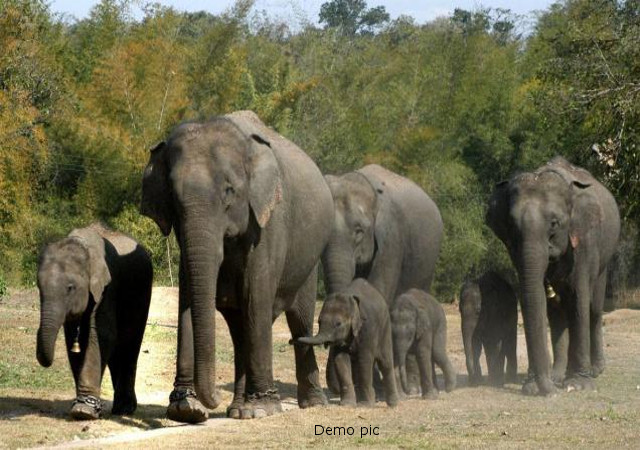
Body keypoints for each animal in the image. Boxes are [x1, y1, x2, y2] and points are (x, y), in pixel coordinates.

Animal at [36, 223, 152, 420]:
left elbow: (101, 334)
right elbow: (73, 340)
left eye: (70, 288)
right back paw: (120, 408)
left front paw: (84, 411)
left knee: (129, 344)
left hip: (142, 290)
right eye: (38, 287)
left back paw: (125, 409)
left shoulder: (107, 287)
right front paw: (83, 406)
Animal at [141, 109, 336, 422]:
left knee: (299, 321)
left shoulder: (268, 221)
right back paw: (238, 409)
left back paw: (310, 404)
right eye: (172, 195)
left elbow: (255, 295)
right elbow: (188, 296)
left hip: (308, 260)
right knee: (239, 327)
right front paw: (186, 409)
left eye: (229, 191)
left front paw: (262, 409)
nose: (214, 399)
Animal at [322, 165, 442, 394]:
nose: (335, 389)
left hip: (427, 264)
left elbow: (378, 291)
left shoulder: (390, 241)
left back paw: (413, 388)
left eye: (359, 231)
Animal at [488, 156, 616, 396]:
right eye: (511, 226)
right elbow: (537, 300)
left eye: (554, 224)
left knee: (593, 308)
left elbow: (579, 298)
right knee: (556, 313)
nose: (547, 392)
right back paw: (557, 376)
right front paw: (533, 387)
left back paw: (594, 371)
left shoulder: (585, 239)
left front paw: (578, 385)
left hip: (605, 256)